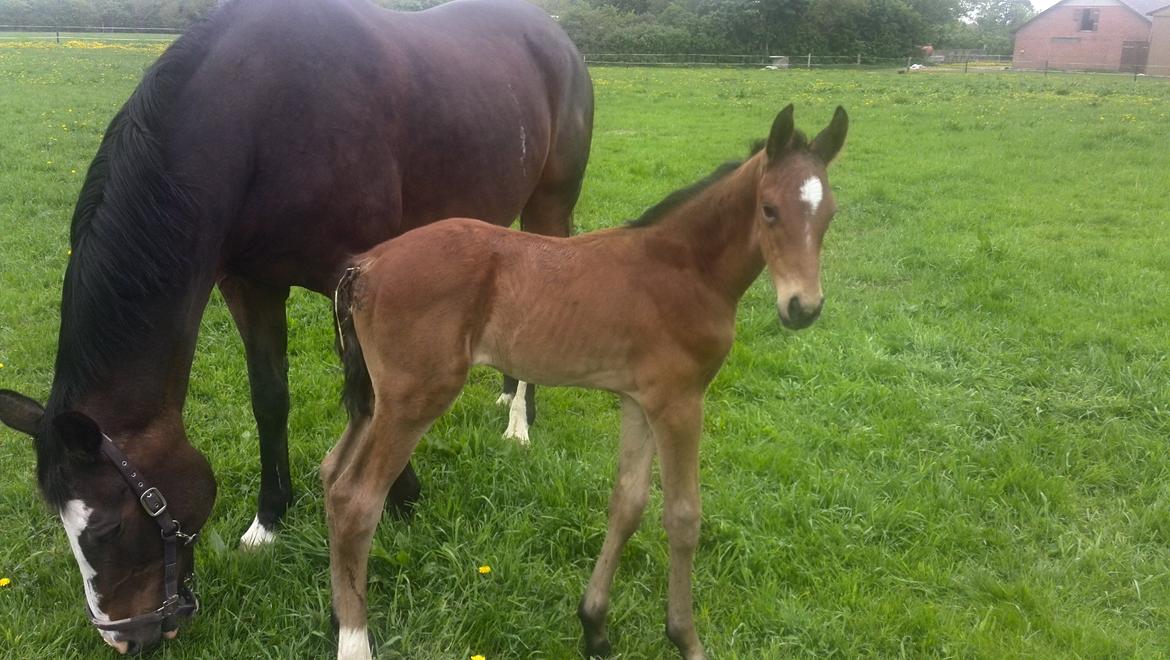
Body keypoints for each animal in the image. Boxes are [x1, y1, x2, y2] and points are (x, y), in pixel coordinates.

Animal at [0, 0, 589, 650]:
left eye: (106, 528)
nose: (127, 637)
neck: (256, 121)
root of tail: (553, 34)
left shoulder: (360, 281)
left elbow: (372, 398)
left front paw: (401, 499)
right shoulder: (249, 286)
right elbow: (270, 398)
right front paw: (269, 520)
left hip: (549, 205)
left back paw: (520, 423)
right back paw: (510, 396)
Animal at [325, 105, 847, 655]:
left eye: (830, 214)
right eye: (769, 210)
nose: (803, 308)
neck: (687, 268)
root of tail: (366, 265)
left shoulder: (640, 400)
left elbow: (628, 503)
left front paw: (594, 626)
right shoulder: (680, 401)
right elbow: (683, 516)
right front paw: (686, 639)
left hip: (379, 398)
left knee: (332, 472)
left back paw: (340, 615)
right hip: (415, 397)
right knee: (356, 501)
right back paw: (355, 641)